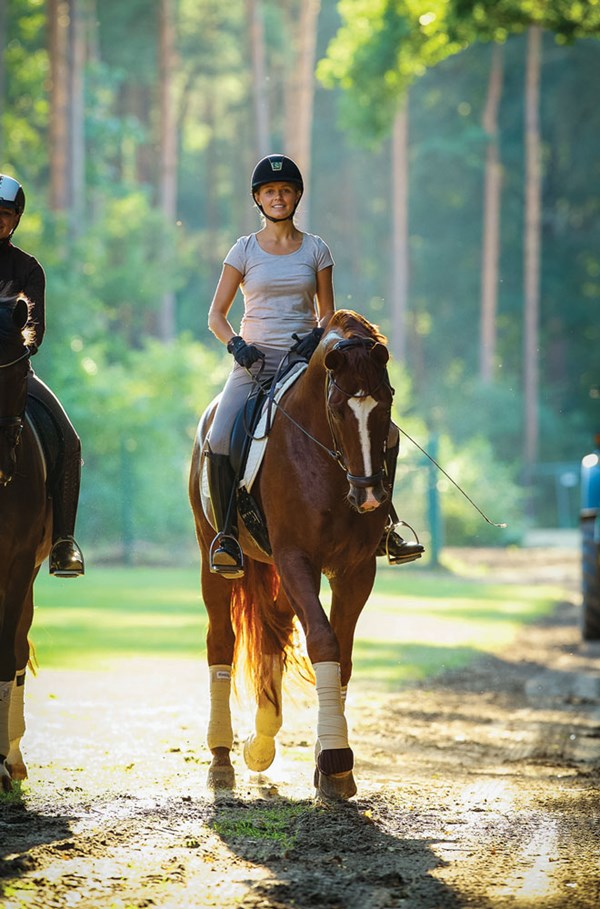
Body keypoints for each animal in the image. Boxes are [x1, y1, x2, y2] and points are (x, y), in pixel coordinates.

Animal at [189, 310, 396, 800]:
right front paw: (336, 759)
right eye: (337, 408)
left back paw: (261, 741)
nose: (370, 497)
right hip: (213, 555)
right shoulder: (296, 559)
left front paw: (330, 767)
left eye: (386, 404)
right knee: (221, 641)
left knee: (276, 630)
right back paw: (221, 758)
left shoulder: (355, 569)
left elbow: (343, 653)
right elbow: (323, 640)